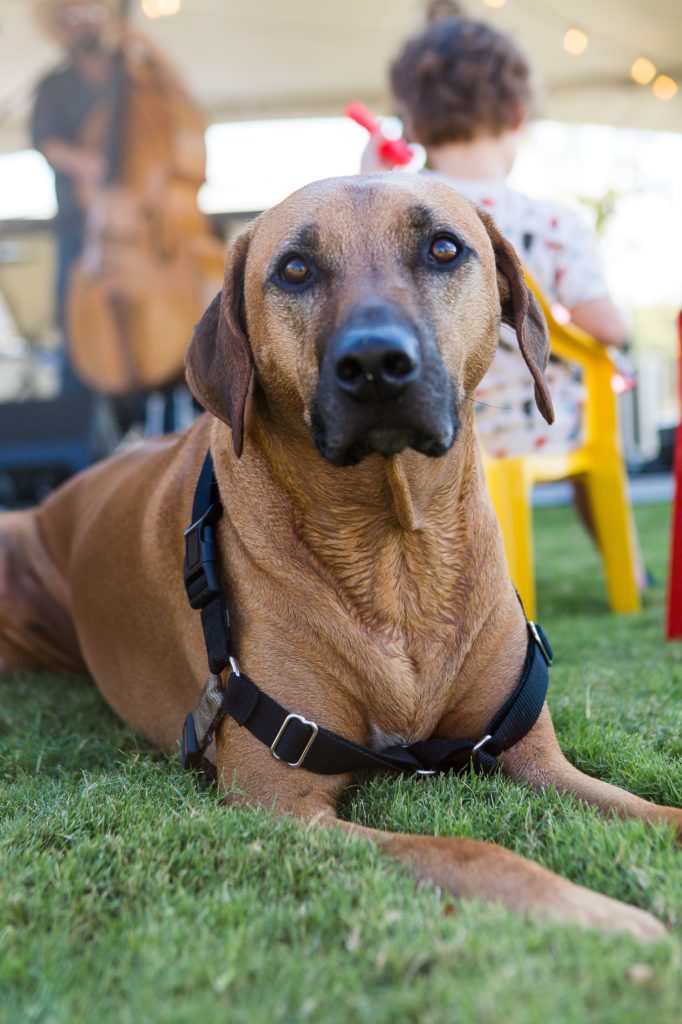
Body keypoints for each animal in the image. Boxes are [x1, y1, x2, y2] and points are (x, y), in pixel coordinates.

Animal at [2, 174, 675, 937]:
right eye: (295, 269)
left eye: (444, 248)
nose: (376, 362)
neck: (394, 551)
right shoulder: (282, 803)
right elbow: (473, 851)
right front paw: (604, 916)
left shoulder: (535, 757)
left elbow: (654, 809)